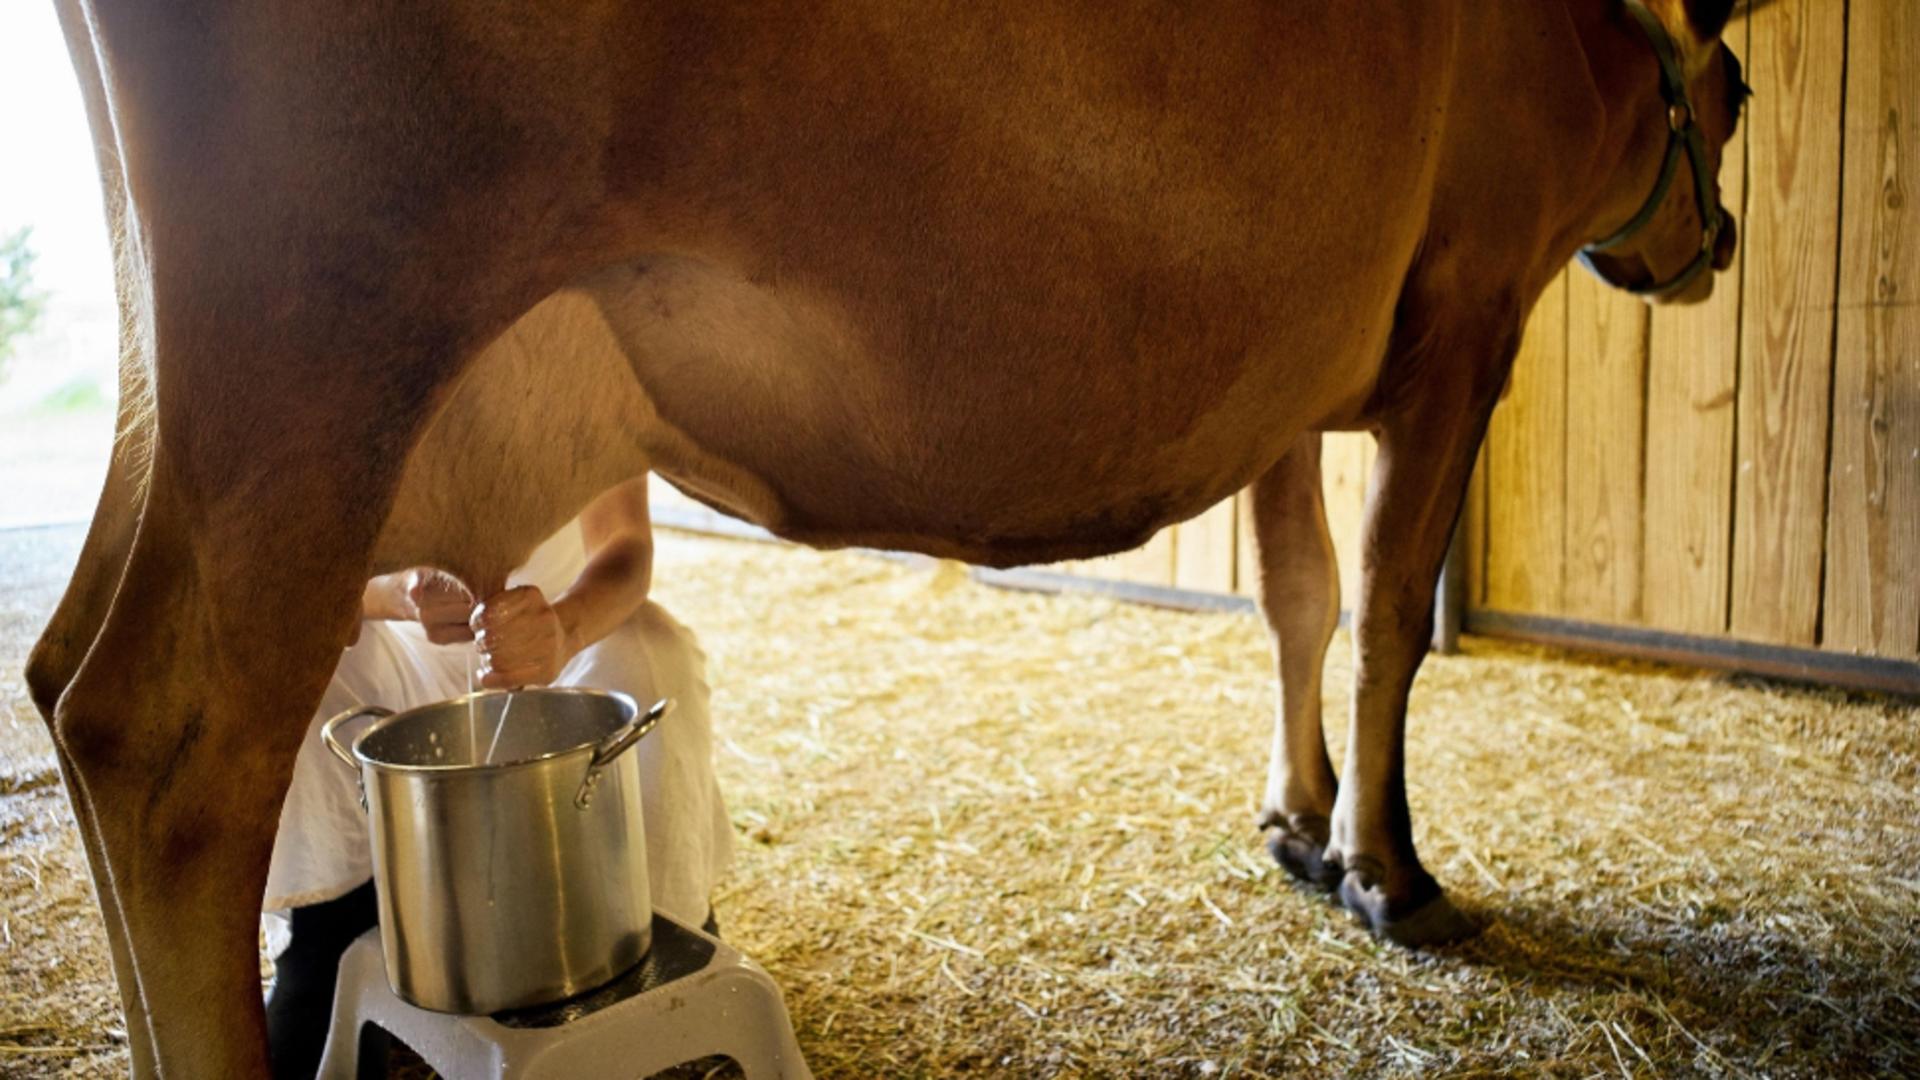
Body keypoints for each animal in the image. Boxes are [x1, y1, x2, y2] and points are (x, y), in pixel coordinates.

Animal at [26, 4, 1743, 1068]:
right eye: (1729, 94)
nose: (1719, 240)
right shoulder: (1464, 318)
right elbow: (1387, 612)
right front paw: (1392, 871)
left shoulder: (1300, 371)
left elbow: (1300, 601)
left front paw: (1299, 819)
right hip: (318, 348)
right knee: (167, 740)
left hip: (177, 384)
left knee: (64, 677)